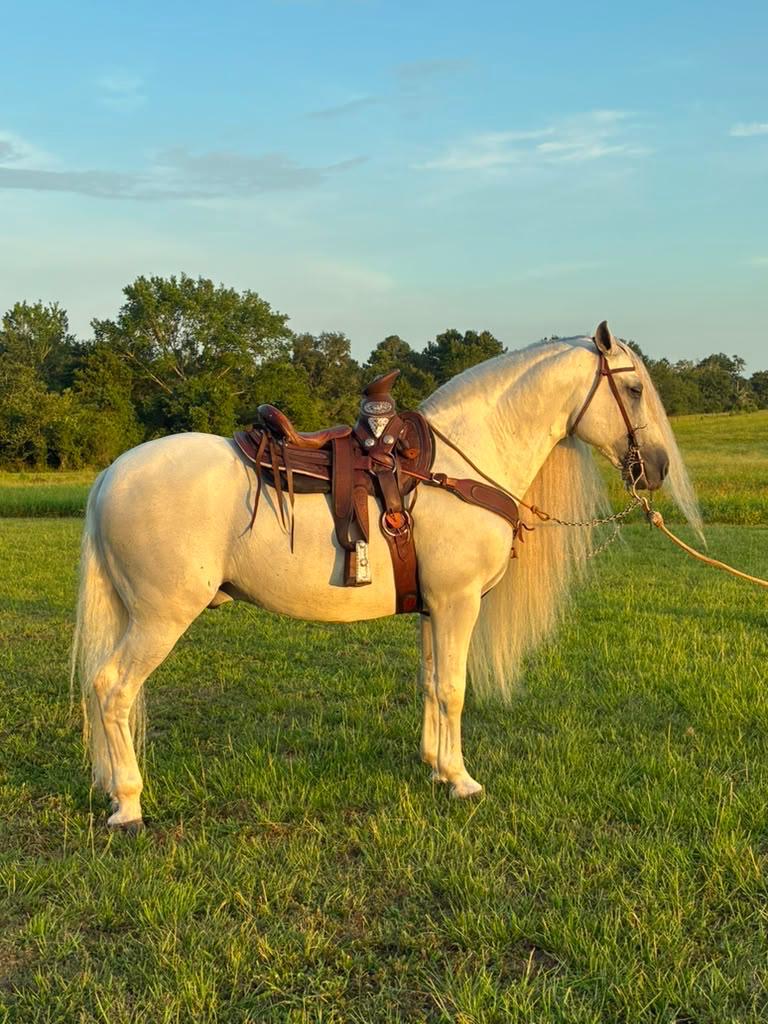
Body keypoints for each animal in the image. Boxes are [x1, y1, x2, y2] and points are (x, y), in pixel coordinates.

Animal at [71, 322, 699, 829]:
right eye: (634, 389)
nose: (658, 469)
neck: (458, 466)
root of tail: (110, 476)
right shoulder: (458, 602)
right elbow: (453, 689)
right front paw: (462, 781)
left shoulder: (433, 606)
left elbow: (431, 684)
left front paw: (436, 768)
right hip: (161, 618)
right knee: (112, 690)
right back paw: (128, 804)